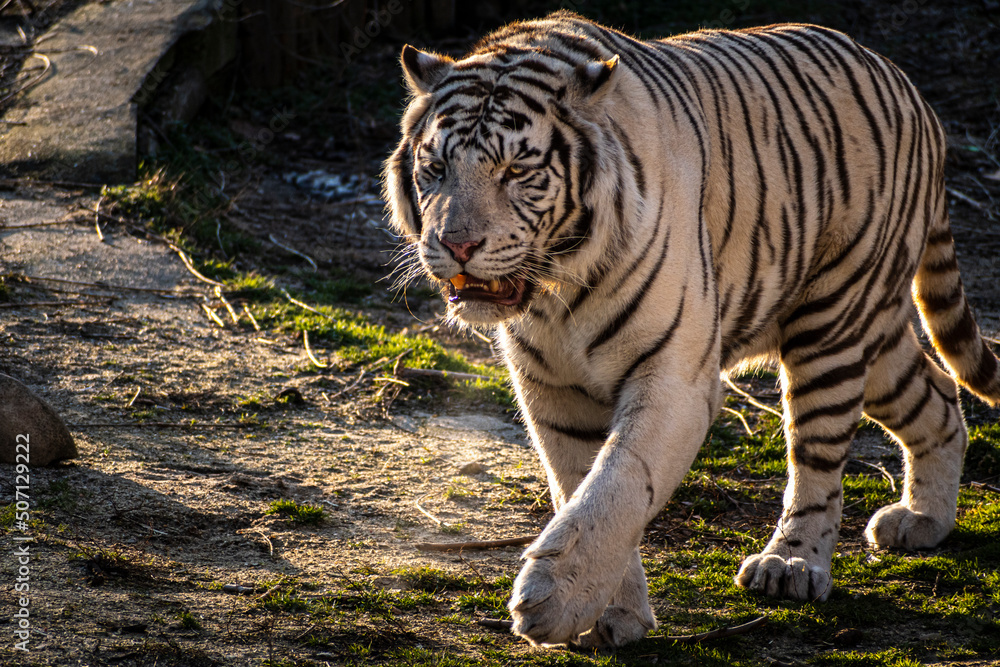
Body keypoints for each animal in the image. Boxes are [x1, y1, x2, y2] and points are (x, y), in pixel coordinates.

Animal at [384, 10, 1000, 648]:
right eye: (435, 168)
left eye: (516, 170)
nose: (456, 244)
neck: (559, 292)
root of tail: (907, 86)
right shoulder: (551, 386)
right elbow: (578, 486)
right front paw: (608, 612)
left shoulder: (674, 378)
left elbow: (618, 482)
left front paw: (556, 598)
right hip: (871, 338)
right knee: (938, 396)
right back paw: (924, 519)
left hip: (832, 323)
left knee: (818, 460)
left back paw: (791, 563)